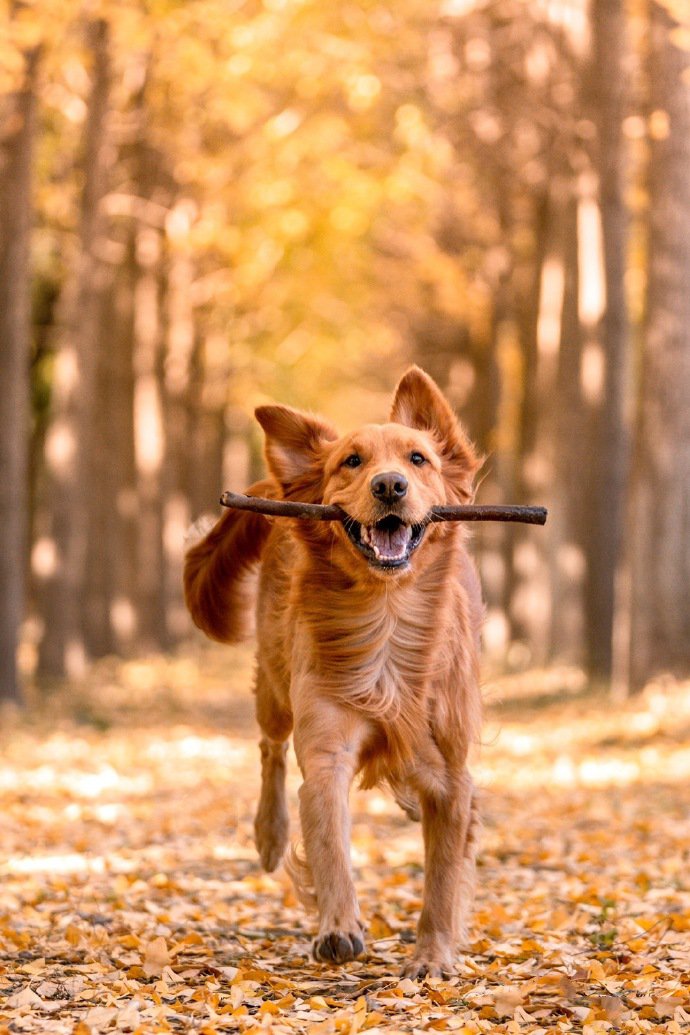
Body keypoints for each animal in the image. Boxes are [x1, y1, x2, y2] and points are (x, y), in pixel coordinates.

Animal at [186, 366, 484, 977]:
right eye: (351, 461)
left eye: (418, 459)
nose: (390, 485)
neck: (387, 616)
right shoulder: (327, 749)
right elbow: (328, 843)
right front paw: (339, 925)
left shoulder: (452, 774)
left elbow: (443, 875)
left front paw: (432, 955)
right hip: (275, 687)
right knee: (270, 749)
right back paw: (269, 834)